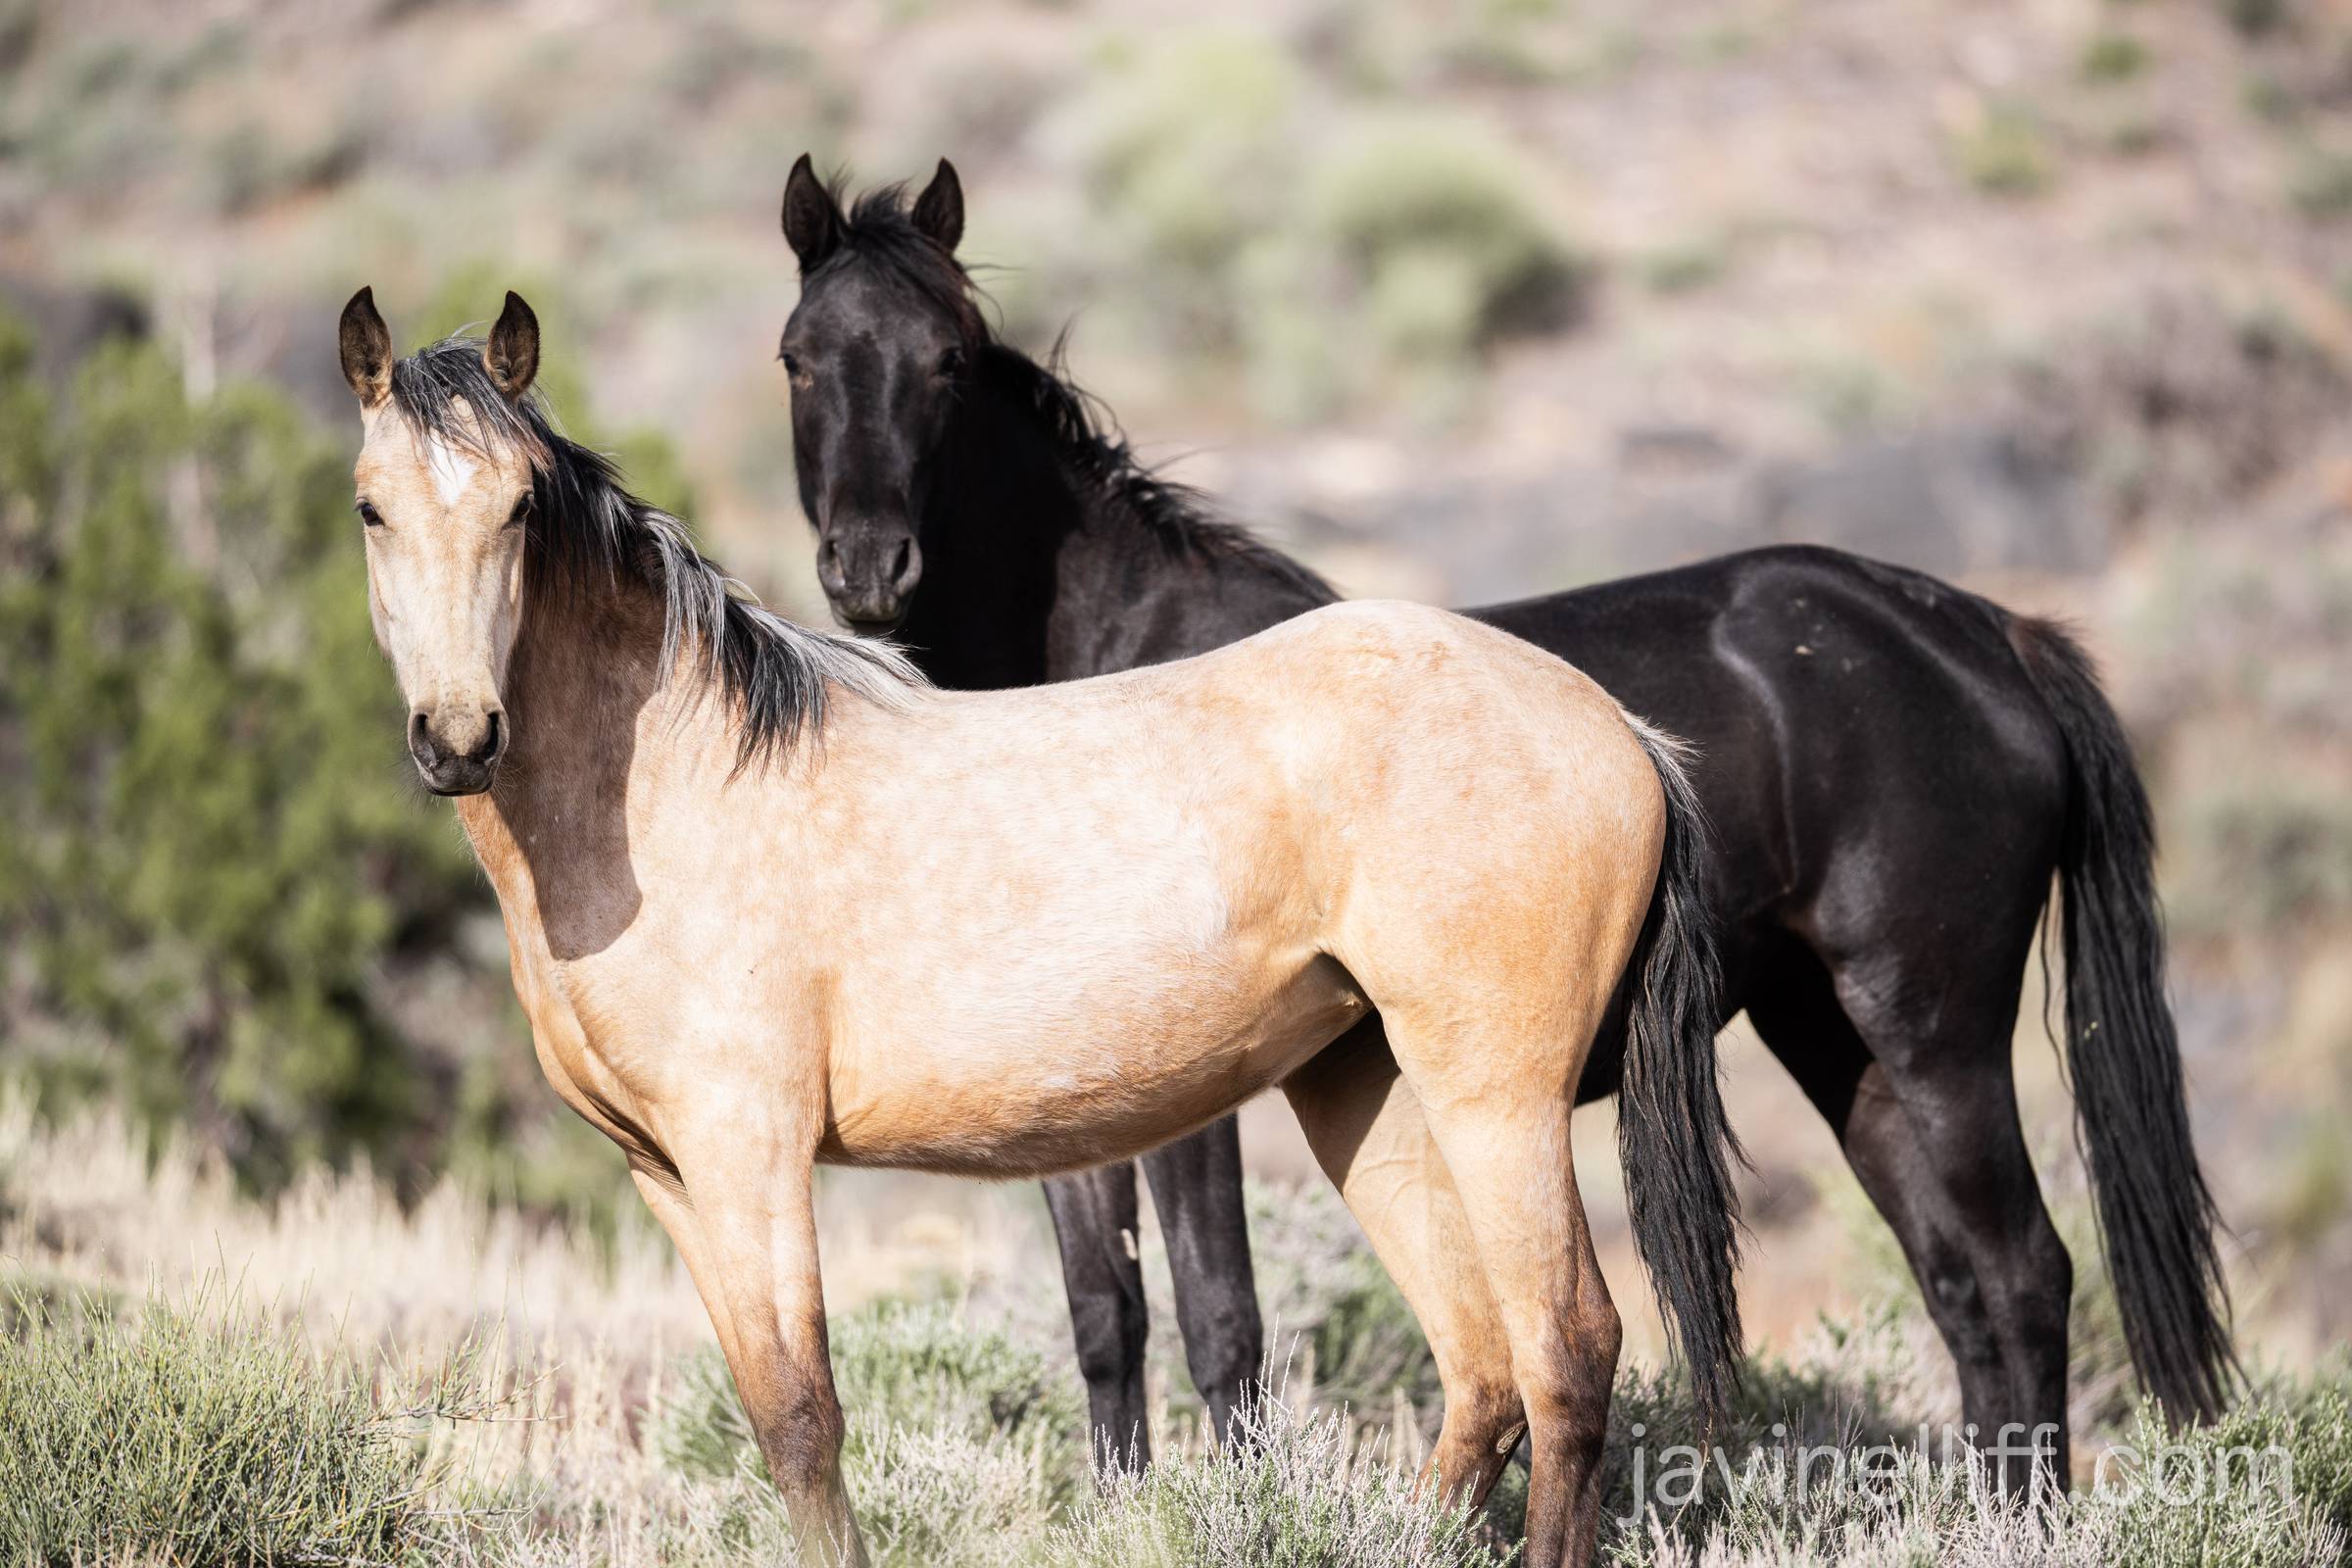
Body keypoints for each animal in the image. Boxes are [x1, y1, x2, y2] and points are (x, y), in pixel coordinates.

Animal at [335, 285, 1739, 1568]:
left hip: (1496, 1098)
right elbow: (768, 1413)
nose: (459, 736)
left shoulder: (751, 1155)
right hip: (1366, 1087)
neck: (672, 789)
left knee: (1567, 1352)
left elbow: (803, 1419)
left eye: (520, 506)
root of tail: (1617, 728)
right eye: (370, 506)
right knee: (1484, 1374)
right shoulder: (665, 1173)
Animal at [773, 155, 2237, 1491]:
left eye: (949, 360)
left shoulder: (1193, 1101)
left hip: (1931, 1031)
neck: (1111, 662)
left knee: (2023, 1271)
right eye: (798, 359)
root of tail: (1985, 632)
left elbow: (1223, 1323)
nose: (868, 565)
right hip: (1837, 1039)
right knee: (1962, 1285)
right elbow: (1105, 1315)